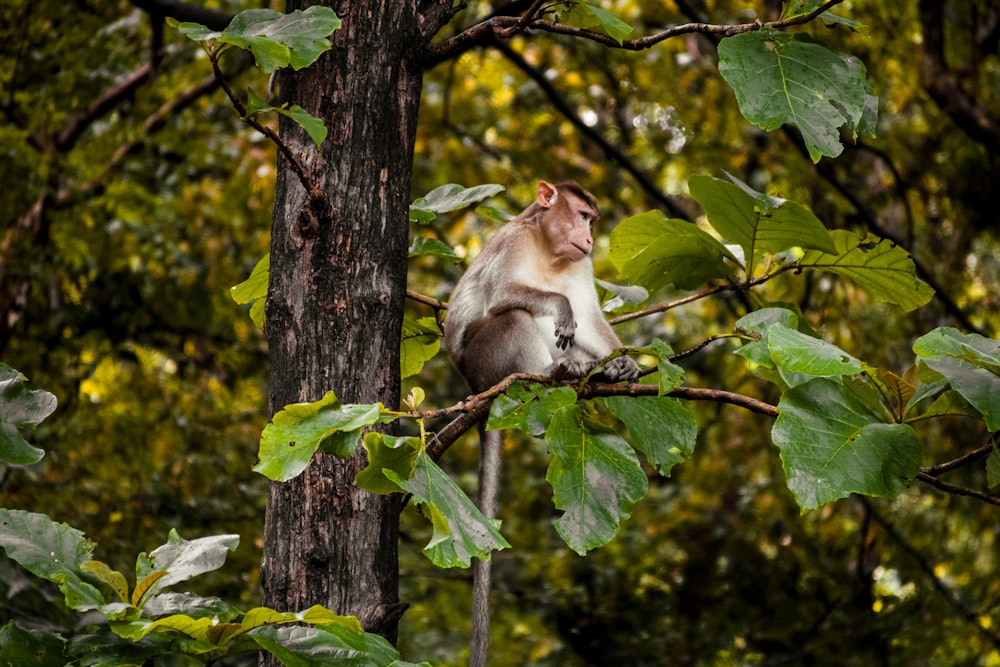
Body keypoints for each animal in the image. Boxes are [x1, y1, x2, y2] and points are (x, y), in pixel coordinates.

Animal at [446, 180, 640, 667]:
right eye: (584, 215)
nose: (589, 237)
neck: (549, 250)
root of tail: (477, 390)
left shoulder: (581, 264)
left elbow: (590, 319)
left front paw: (623, 361)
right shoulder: (512, 243)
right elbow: (508, 297)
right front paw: (560, 306)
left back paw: (595, 372)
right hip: (486, 364)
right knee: (516, 317)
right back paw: (557, 372)